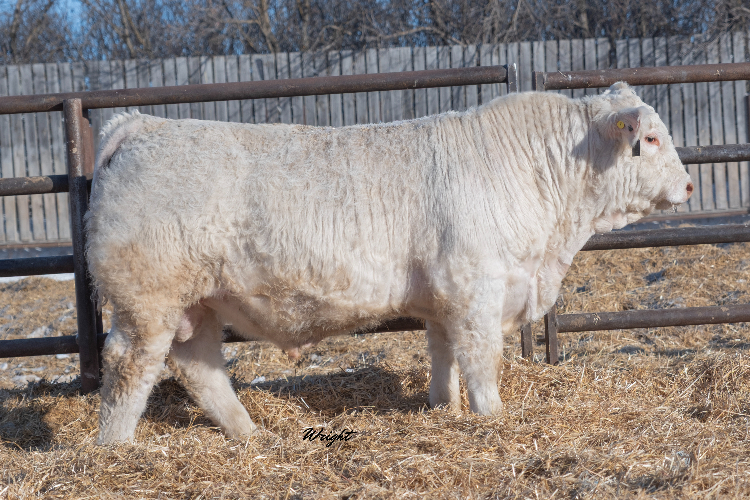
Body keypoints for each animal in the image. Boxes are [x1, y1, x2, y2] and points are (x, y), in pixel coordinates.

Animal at [86, 82, 693, 444]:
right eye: (651, 138)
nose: (689, 185)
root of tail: (140, 126)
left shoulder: (446, 296)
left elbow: (444, 359)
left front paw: (446, 411)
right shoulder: (477, 288)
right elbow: (480, 360)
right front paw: (492, 418)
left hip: (197, 304)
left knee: (199, 366)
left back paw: (251, 435)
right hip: (148, 299)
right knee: (130, 365)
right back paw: (115, 448)